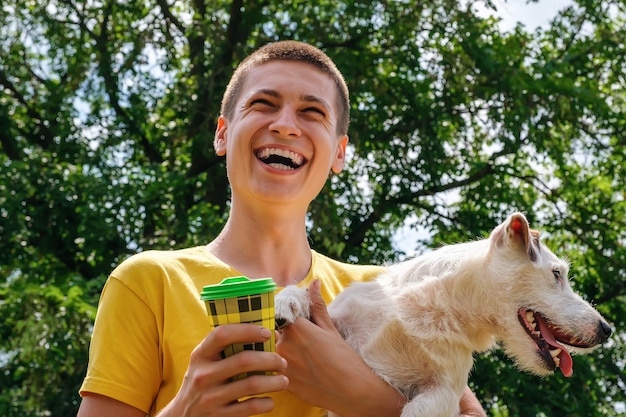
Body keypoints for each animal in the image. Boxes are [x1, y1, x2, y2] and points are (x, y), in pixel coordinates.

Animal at [274, 213, 608, 414]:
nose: (607, 330)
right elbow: (307, 296)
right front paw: (285, 302)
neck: (436, 309)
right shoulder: (338, 317)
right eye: (556, 274)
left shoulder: (443, 392)